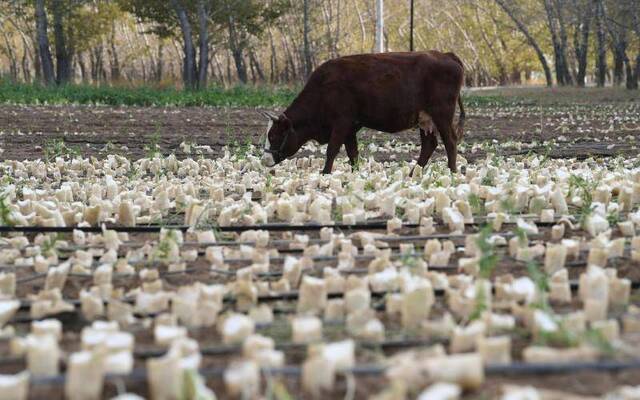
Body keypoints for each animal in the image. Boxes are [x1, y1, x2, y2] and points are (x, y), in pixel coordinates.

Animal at [260, 50, 464, 175]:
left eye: (274, 135)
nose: (264, 159)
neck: (323, 88)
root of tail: (445, 55)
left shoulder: (341, 123)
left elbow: (331, 150)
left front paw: (325, 173)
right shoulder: (350, 128)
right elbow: (353, 154)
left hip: (442, 115)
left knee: (450, 142)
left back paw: (452, 172)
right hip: (425, 119)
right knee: (429, 145)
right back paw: (413, 174)